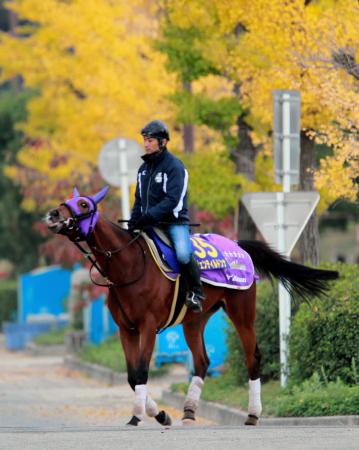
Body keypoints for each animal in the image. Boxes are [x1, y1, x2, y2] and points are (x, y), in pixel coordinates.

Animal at [45, 186, 340, 426]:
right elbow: (131, 376)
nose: (53, 214)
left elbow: (141, 371)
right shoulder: (126, 328)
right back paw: (188, 410)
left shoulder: (148, 326)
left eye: (84, 204)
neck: (129, 265)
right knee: (201, 361)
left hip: (242, 312)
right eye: (67, 200)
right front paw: (160, 414)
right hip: (194, 320)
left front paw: (138, 416)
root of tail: (238, 245)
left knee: (252, 357)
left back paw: (253, 414)